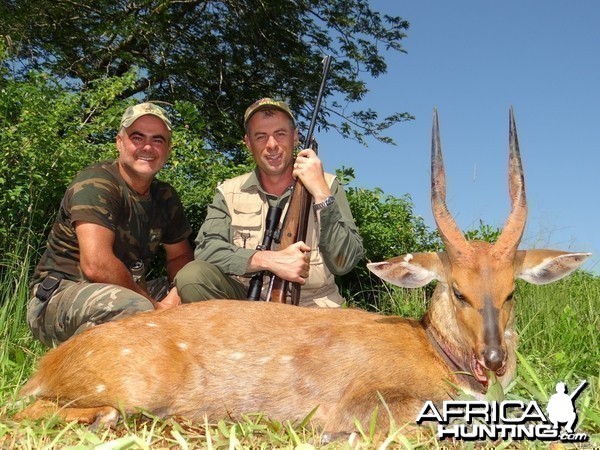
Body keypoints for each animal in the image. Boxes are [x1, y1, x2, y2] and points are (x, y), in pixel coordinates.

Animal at [15, 107, 592, 434]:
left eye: (512, 290)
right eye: (457, 291)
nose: (493, 360)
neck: (435, 353)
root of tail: (45, 366)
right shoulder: (366, 406)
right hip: (126, 385)